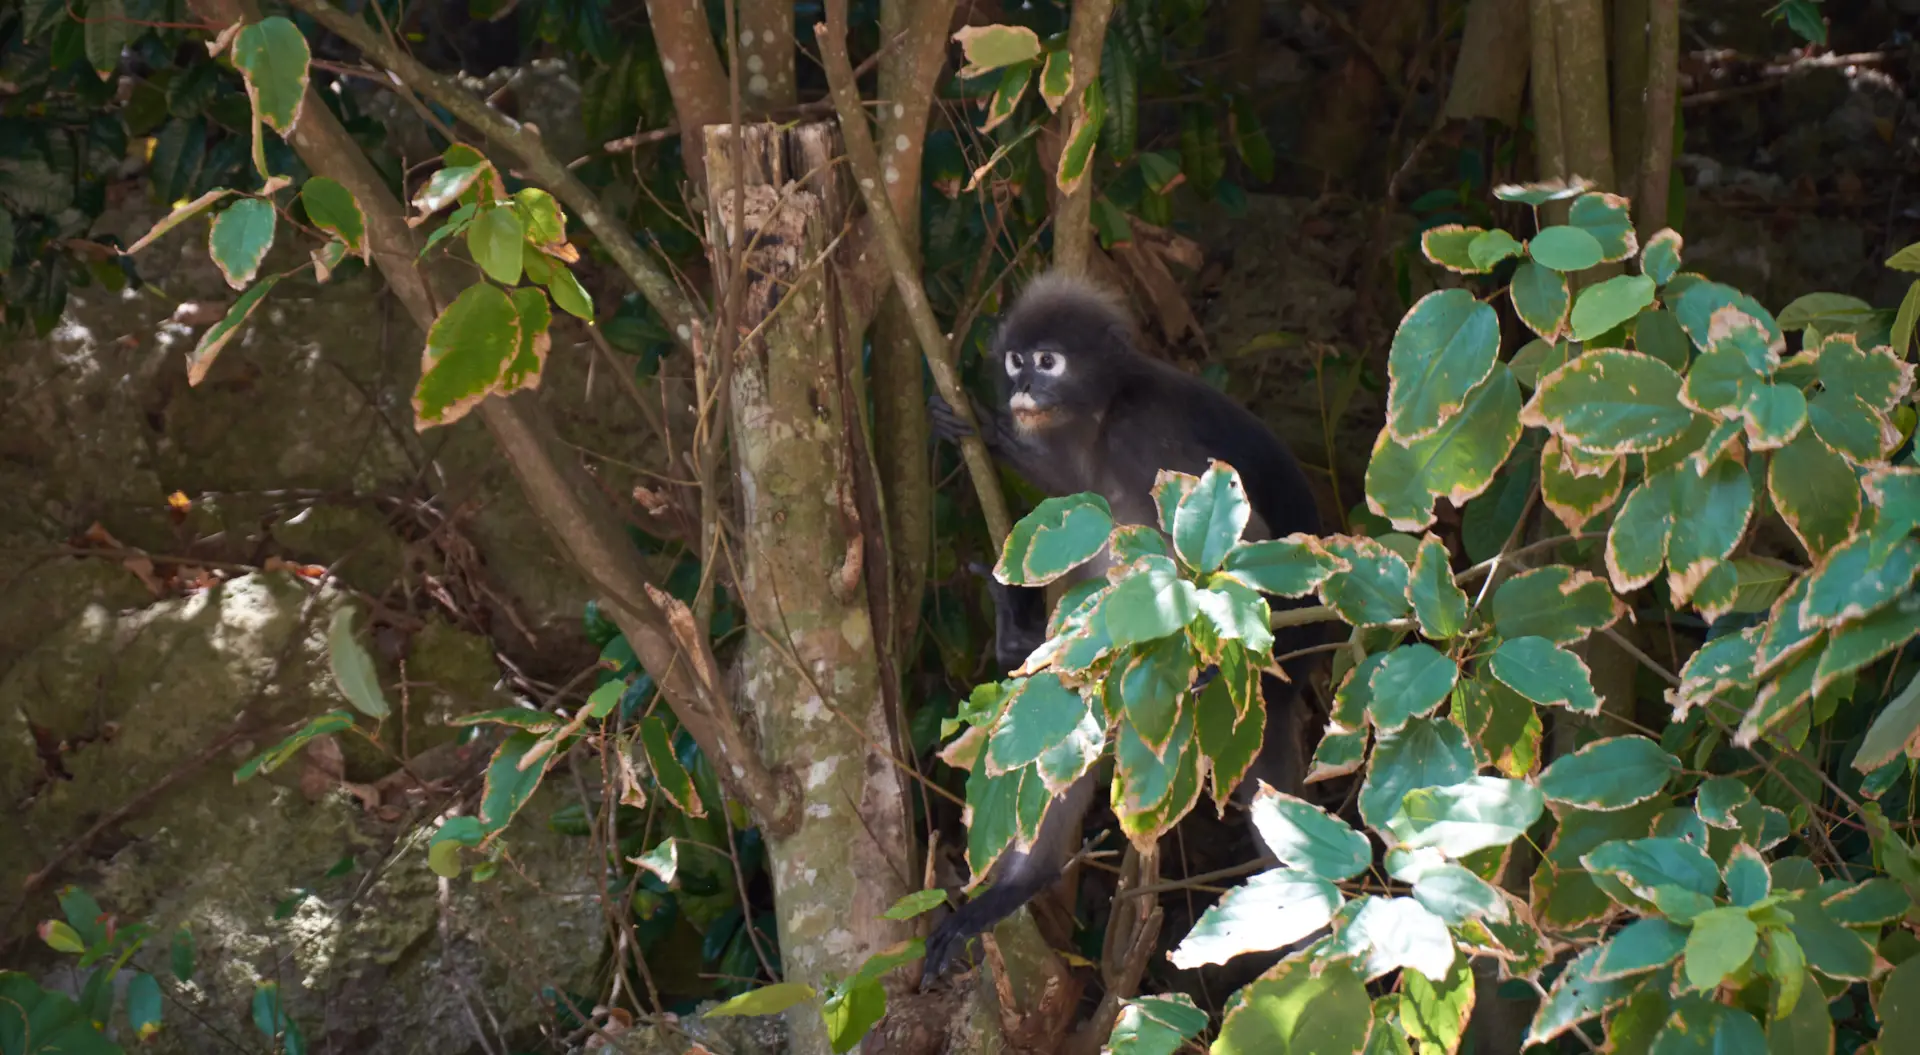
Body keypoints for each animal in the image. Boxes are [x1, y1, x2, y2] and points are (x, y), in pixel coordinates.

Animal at [921, 267, 1328, 983]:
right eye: (1016, 360)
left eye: (1048, 362)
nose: (1023, 389)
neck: (1106, 407)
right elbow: (1070, 486)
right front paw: (987, 431)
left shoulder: (1144, 435)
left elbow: (1251, 539)